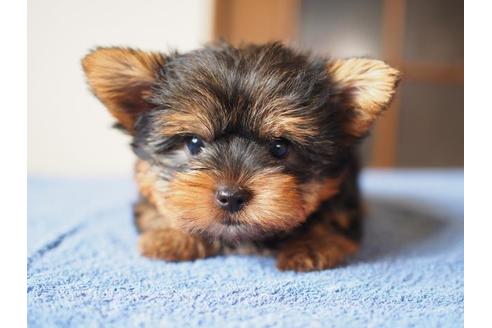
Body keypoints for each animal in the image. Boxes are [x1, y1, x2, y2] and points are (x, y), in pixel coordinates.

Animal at [81, 41, 400, 272]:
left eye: (280, 147)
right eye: (193, 143)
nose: (231, 196)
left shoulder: (343, 189)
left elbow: (332, 215)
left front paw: (312, 245)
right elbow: (157, 207)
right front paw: (172, 235)